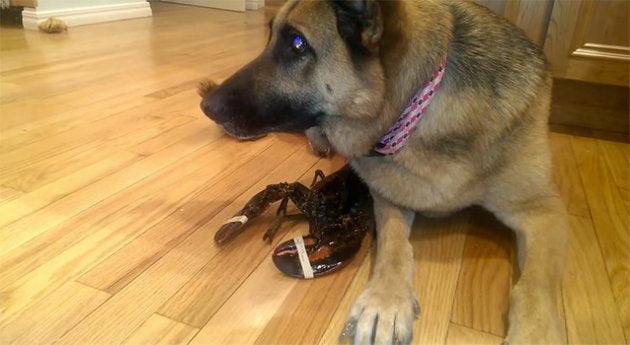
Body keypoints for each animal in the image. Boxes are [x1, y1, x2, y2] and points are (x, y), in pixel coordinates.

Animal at [200, 1, 572, 342]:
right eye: (271, 36)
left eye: (297, 43)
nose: (206, 106)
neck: (416, 112)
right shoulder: (386, 196)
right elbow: (395, 246)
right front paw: (387, 301)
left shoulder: (545, 212)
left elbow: (535, 286)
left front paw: (535, 332)